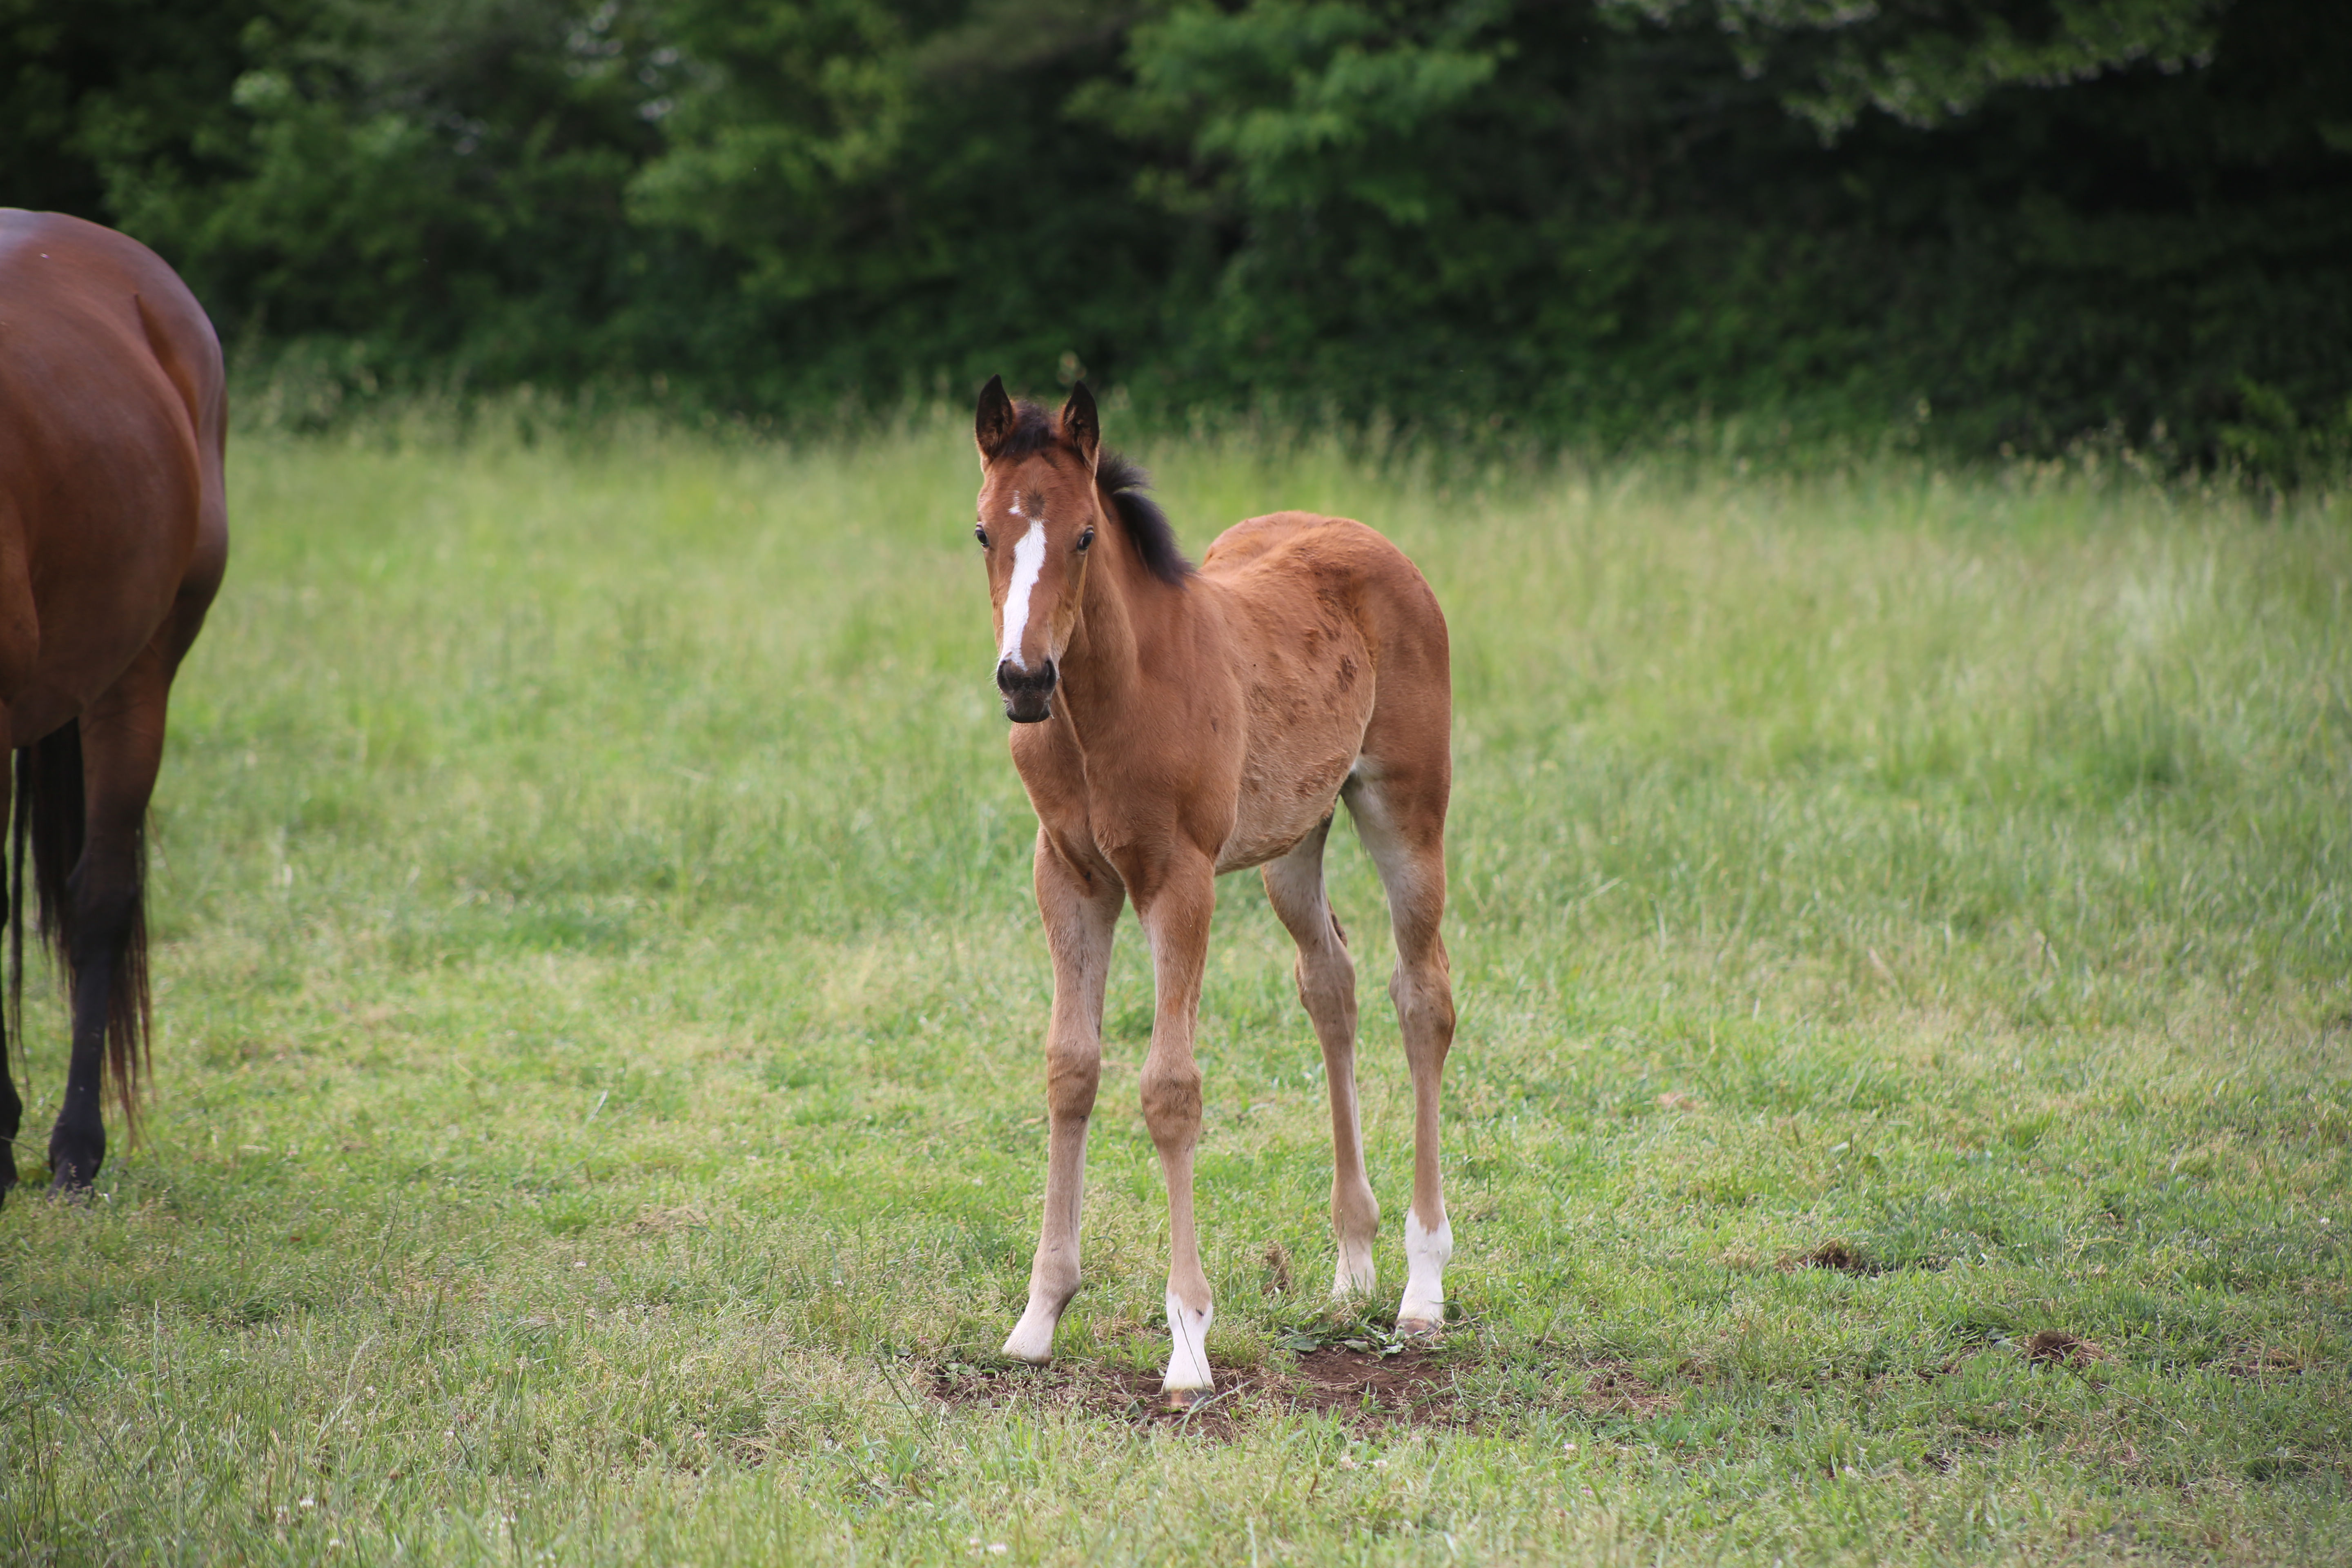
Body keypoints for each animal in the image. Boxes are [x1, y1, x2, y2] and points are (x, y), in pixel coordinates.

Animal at [969, 381, 1449, 1410]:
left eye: (1081, 536)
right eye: (984, 531)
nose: (1023, 679)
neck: (1104, 704)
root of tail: (1370, 538)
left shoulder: (1177, 878)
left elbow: (1169, 1089)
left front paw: (1188, 1340)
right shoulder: (1067, 875)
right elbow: (1071, 1068)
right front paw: (1038, 1317)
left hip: (1404, 809)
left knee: (1422, 995)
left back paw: (1421, 1283)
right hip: (1291, 842)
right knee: (1332, 983)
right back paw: (1352, 1263)